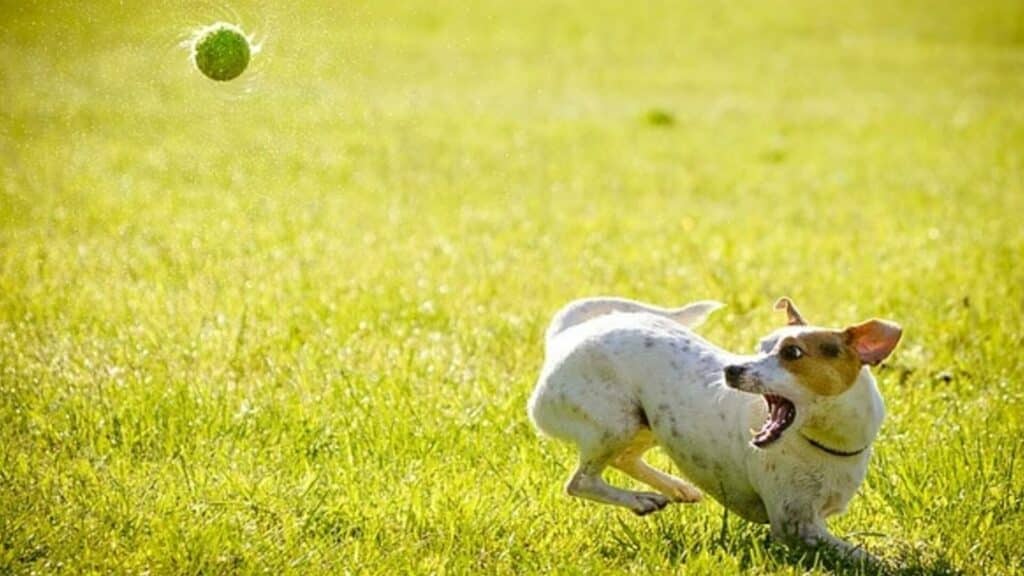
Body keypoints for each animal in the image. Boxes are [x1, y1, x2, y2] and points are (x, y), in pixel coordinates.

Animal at [532, 295, 901, 561]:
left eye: (793, 352)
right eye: (761, 347)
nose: (731, 370)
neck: (826, 442)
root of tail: (565, 336)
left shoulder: (813, 521)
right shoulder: (796, 527)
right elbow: (862, 556)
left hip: (648, 424)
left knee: (624, 459)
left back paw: (676, 488)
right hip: (616, 422)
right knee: (580, 481)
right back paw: (640, 499)